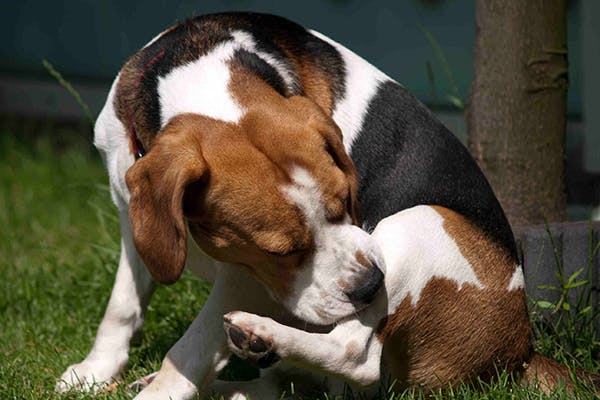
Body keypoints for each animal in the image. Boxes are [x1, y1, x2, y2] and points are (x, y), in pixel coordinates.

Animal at [55, 11, 580, 396]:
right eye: (283, 251)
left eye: (348, 199)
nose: (372, 286)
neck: (199, 75)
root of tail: (518, 351)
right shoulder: (136, 216)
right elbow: (122, 305)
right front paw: (95, 371)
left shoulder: (246, 277)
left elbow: (193, 346)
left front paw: (160, 391)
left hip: (420, 222)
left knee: (355, 354)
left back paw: (259, 334)